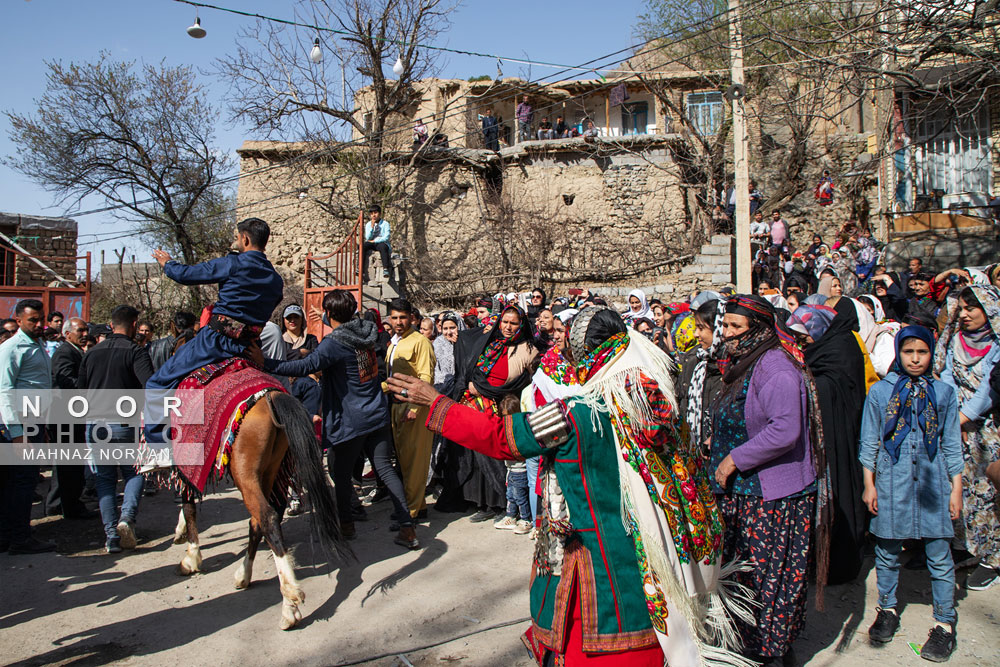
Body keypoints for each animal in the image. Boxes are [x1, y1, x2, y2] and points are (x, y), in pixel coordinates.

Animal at [166, 388, 350, 628]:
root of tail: (271, 396)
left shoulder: (186, 462)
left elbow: (188, 505)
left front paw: (191, 557)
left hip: (246, 474)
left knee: (267, 517)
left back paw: (289, 604)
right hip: (269, 467)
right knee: (258, 521)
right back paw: (244, 575)